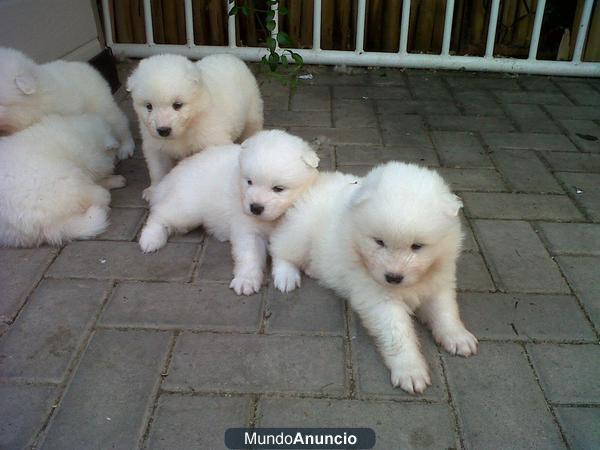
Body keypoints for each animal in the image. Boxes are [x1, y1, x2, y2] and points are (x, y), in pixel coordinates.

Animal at [127, 52, 264, 190]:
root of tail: (228, 55)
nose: (163, 130)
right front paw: (154, 190)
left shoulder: (212, 138)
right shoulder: (155, 145)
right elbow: (158, 169)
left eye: (177, 105)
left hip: (252, 112)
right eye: (149, 106)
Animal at [139, 130, 318, 298]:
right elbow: (249, 256)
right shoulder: (246, 228)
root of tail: (174, 174)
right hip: (187, 208)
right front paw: (246, 280)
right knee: (159, 213)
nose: (255, 208)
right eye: (249, 182)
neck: (272, 221)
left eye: (278, 189)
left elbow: (286, 252)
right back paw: (150, 239)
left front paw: (286, 276)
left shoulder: (290, 230)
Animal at [270, 163, 476, 394]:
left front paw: (457, 336)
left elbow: (445, 311)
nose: (393, 277)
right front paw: (410, 370)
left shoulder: (439, 282)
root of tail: (319, 179)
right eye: (379, 242)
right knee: (279, 248)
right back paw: (286, 276)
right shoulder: (378, 297)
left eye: (417, 246)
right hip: (300, 234)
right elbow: (397, 333)